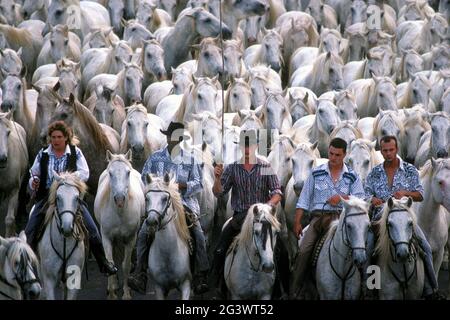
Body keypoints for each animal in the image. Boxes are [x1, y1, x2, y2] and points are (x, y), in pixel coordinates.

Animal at [94, 150, 144, 300]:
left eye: (128, 172)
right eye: (110, 173)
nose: (120, 199)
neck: (120, 212)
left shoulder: (130, 238)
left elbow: (126, 265)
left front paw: (126, 293)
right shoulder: (106, 237)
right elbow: (110, 263)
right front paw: (112, 293)